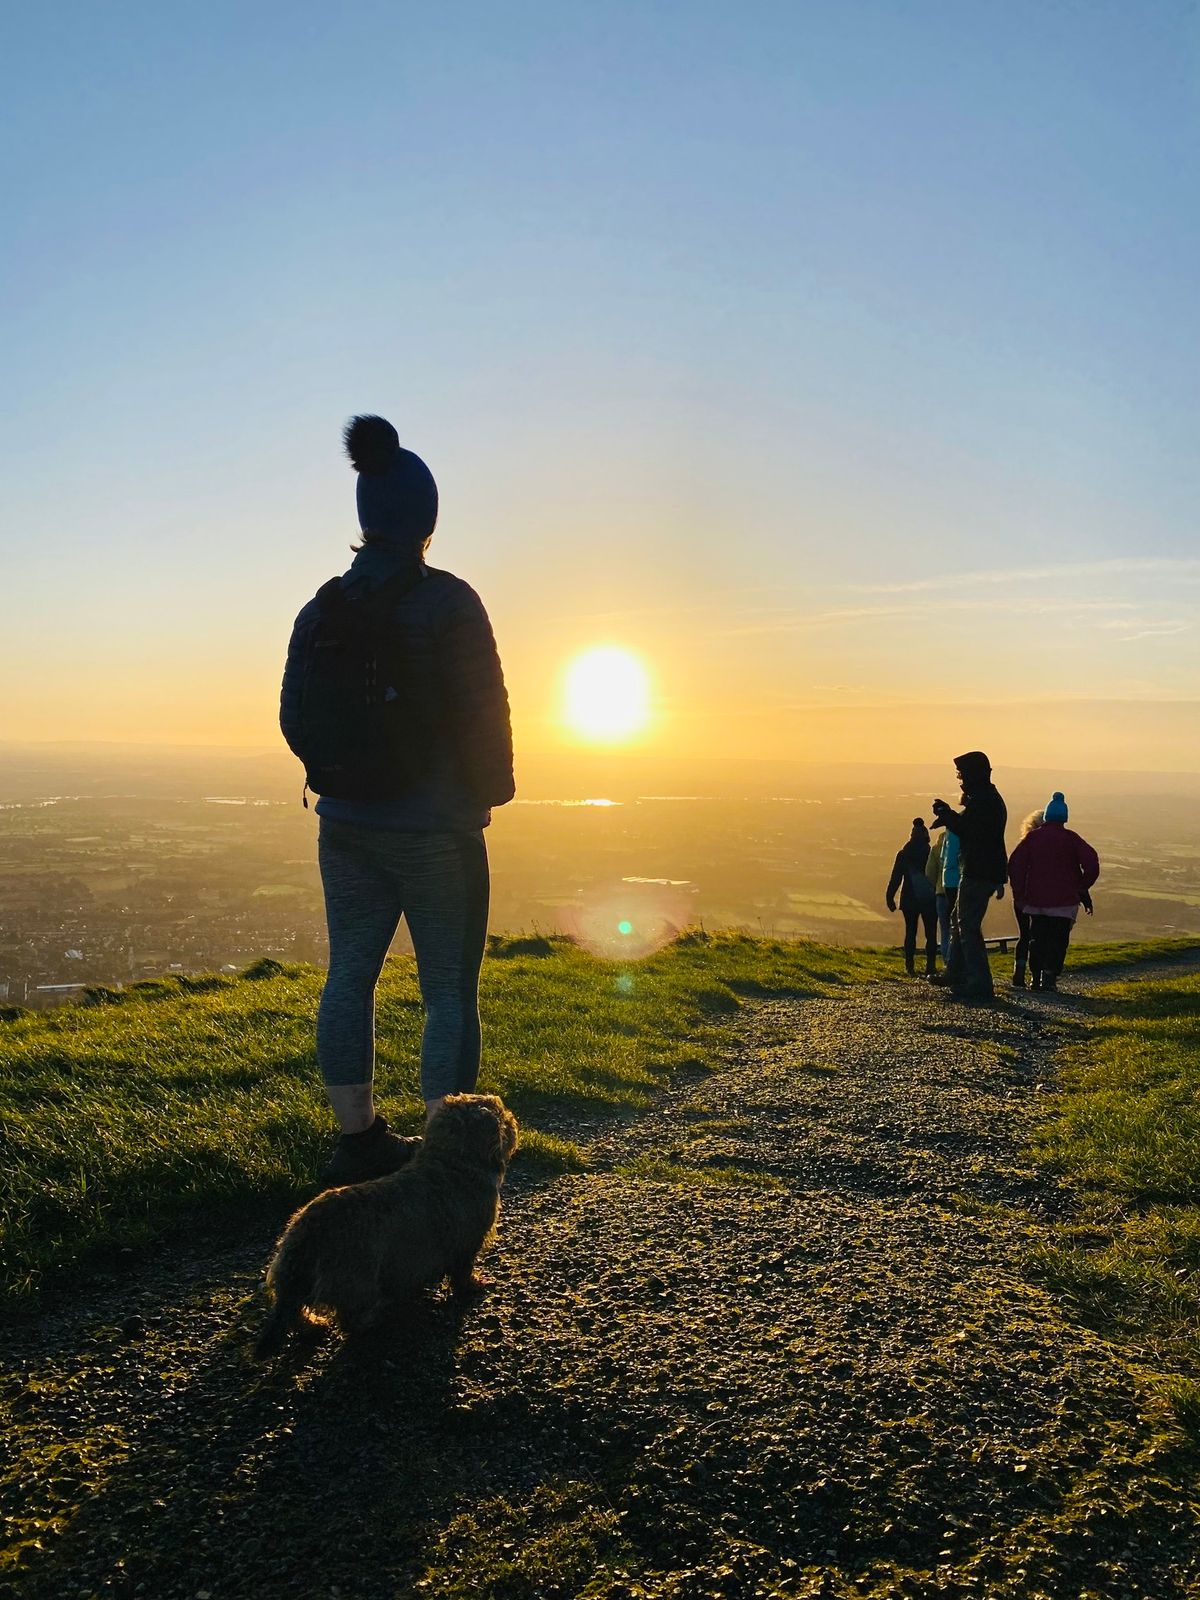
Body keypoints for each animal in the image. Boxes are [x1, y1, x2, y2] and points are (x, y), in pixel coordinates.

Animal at [254, 1088, 518, 1363]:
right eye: (503, 1114)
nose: (513, 1119)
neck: (451, 1162)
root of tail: (306, 1233)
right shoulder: (466, 1243)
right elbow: (462, 1272)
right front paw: (472, 1285)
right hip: (356, 1279)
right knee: (348, 1317)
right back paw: (372, 1320)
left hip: (298, 1278)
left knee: (296, 1312)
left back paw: (314, 1325)